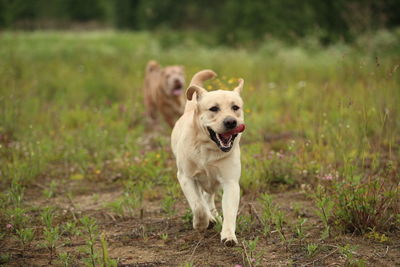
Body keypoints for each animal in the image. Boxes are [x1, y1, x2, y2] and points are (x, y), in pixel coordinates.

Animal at [171, 69, 245, 247]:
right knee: (202, 199)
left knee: (208, 197)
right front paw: (201, 223)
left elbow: (230, 211)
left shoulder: (230, 182)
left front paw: (228, 235)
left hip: (214, 183)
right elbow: (197, 205)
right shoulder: (185, 177)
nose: (231, 122)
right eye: (213, 108)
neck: (208, 149)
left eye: (235, 107)